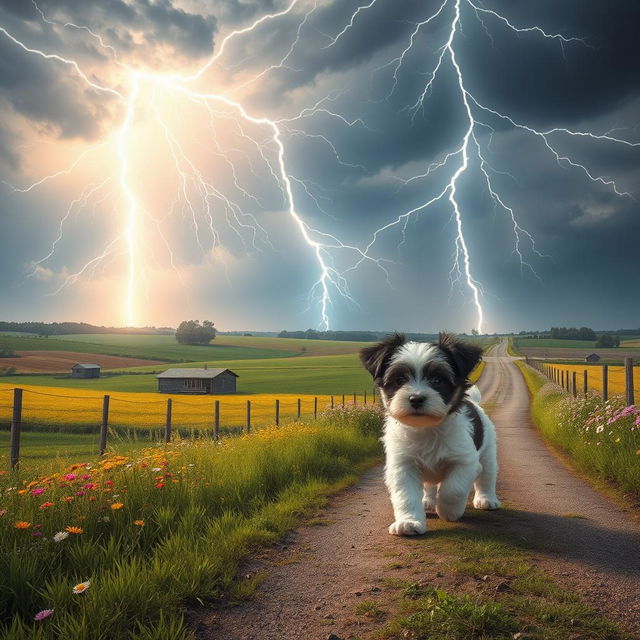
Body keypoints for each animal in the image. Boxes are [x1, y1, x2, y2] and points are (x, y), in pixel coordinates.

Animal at [360, 330, 500, 536]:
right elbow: (406, 495)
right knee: (430, 485)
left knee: (487, 476)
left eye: (437, 380)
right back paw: (427, 501)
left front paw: (448, 511)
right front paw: (409, 521)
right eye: (400, 380)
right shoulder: (403, 465)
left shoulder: (465, 461)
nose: (416, 399)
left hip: (488, 452)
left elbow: (453, 488)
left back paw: (486, 499)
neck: (426, 428)